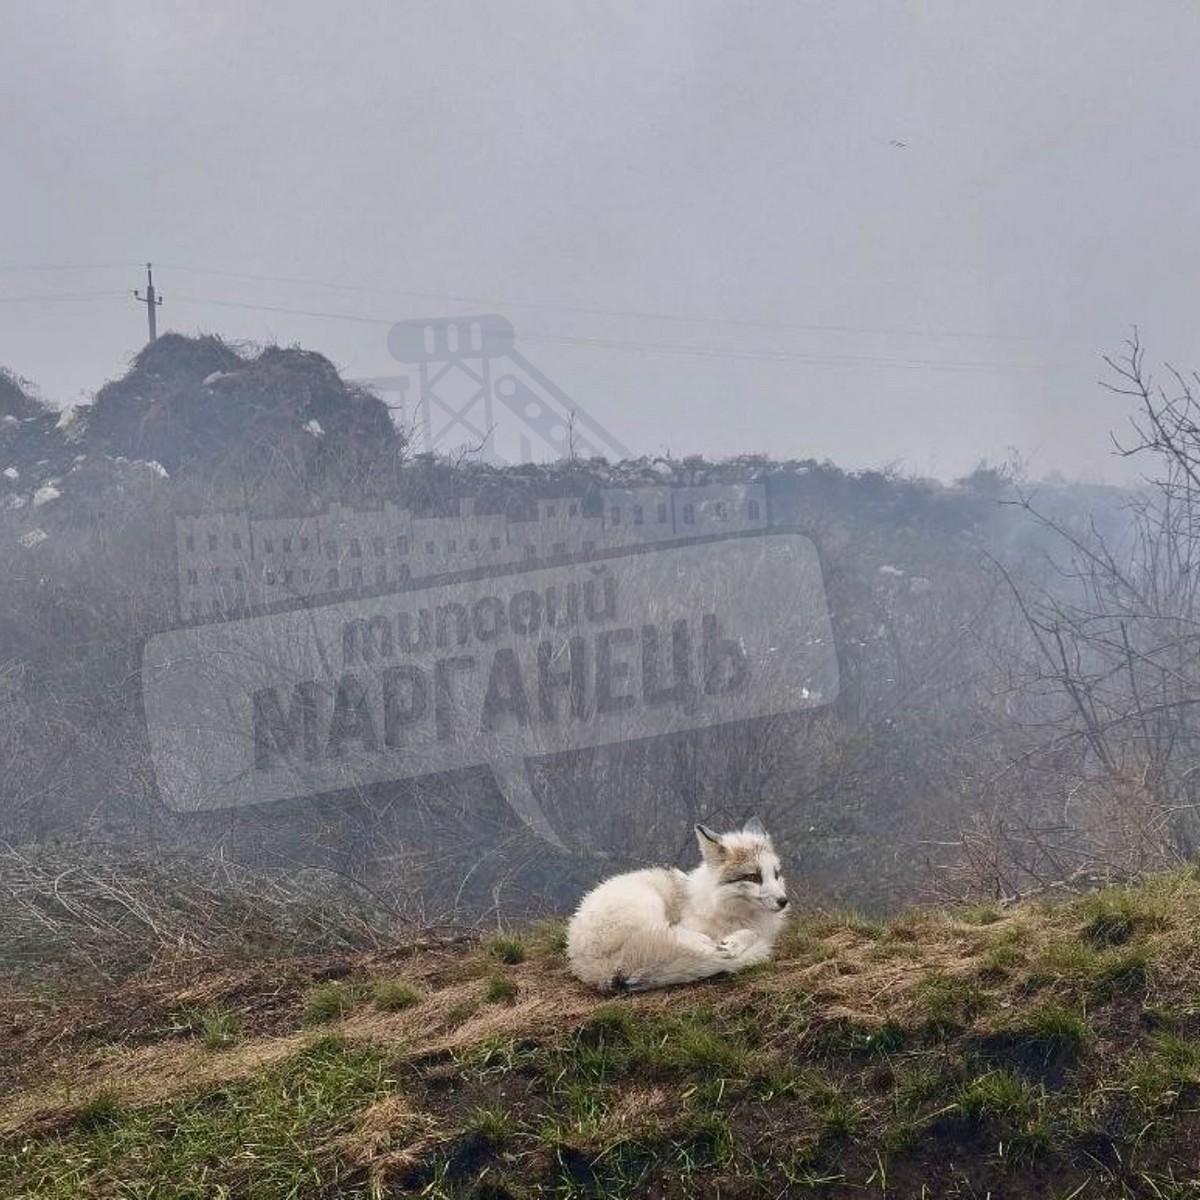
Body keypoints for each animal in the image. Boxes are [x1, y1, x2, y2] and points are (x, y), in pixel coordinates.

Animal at [564, 816, 787, 993]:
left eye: (776, 874)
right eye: (753, 877)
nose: (784, 901)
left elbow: (753, 933)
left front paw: (734, 941)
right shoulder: (691, 924)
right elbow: (743, 934)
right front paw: (730, 944)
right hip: (650, 904)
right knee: (673, 935)